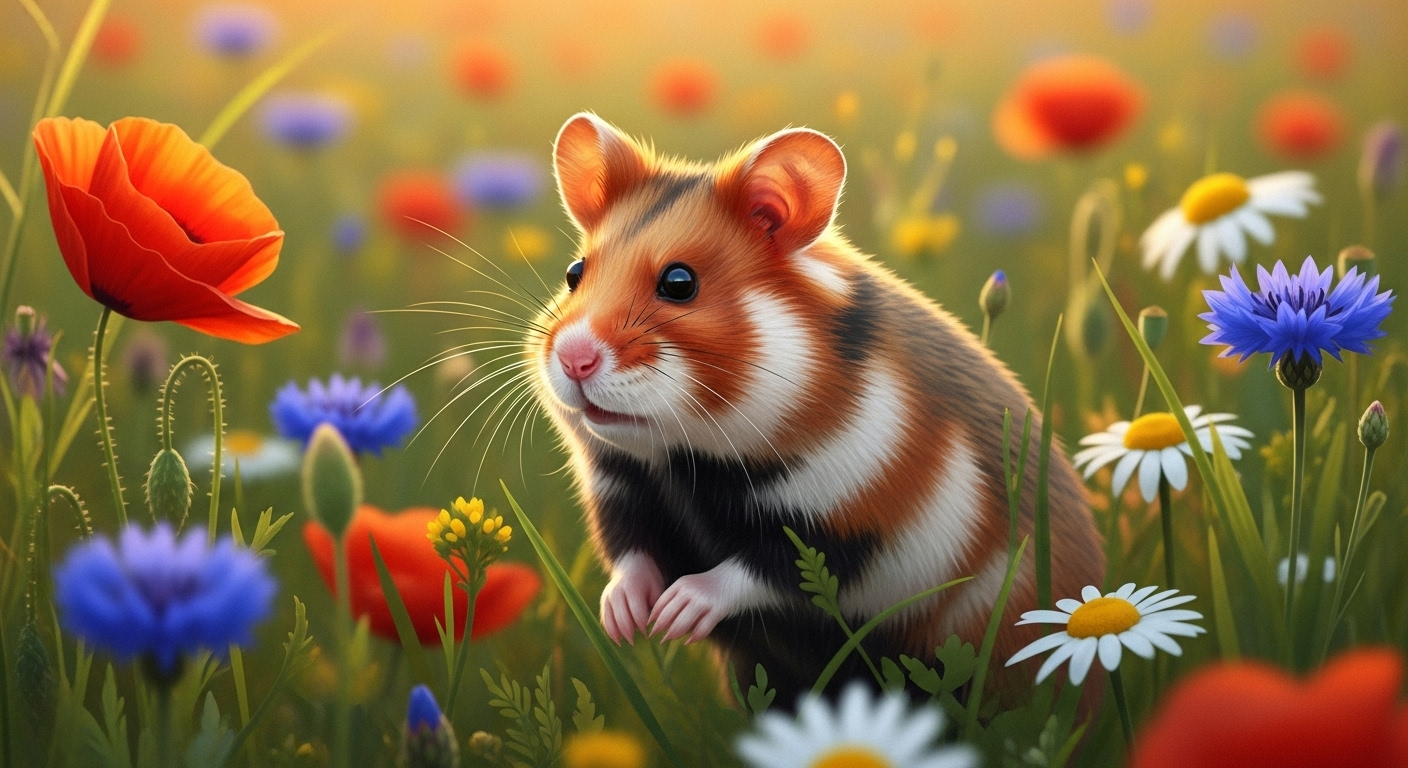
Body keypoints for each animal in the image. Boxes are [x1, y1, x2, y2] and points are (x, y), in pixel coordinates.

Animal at [529, 112, 1105, 703]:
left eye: (679, 282)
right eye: (575, 273)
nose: (574, 360)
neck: (684, 454)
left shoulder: (861, 518)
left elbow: (764, 573)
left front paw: (675, 613)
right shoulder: (620, 486)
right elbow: (631, 552)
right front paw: (624, 622)